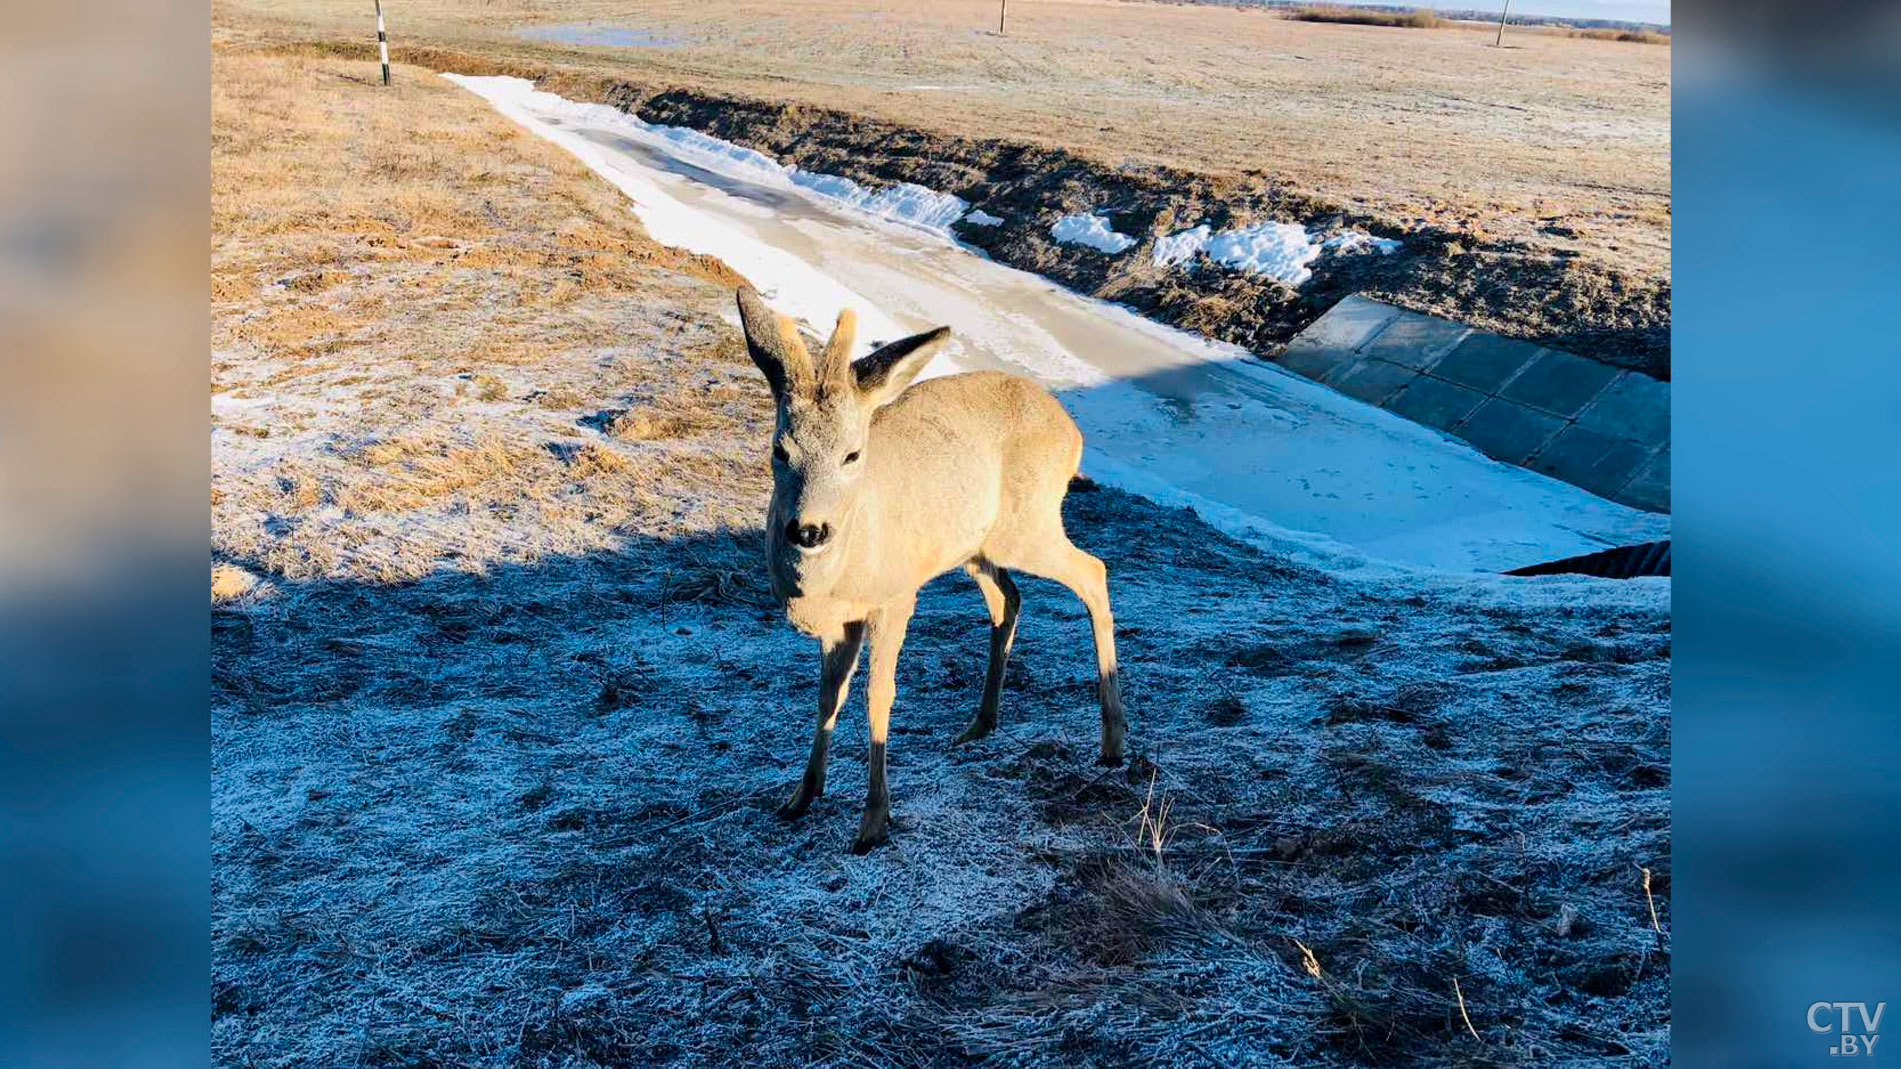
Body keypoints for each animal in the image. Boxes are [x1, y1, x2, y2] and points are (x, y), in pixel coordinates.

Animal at [733, 285, 1125, 848]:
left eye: (853, 455)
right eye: (779, 449)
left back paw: (1113, 740)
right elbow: (829, 696)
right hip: (973, 547)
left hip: (1028, 525)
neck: (826, 584)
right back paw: (982, 722)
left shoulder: (896, 596)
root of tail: (1072, 432)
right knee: (1010, 597)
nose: (809, 530)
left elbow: (878, 695)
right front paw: (801, 796)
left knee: (1093, 570)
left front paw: (874, 822)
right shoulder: (840, 622)